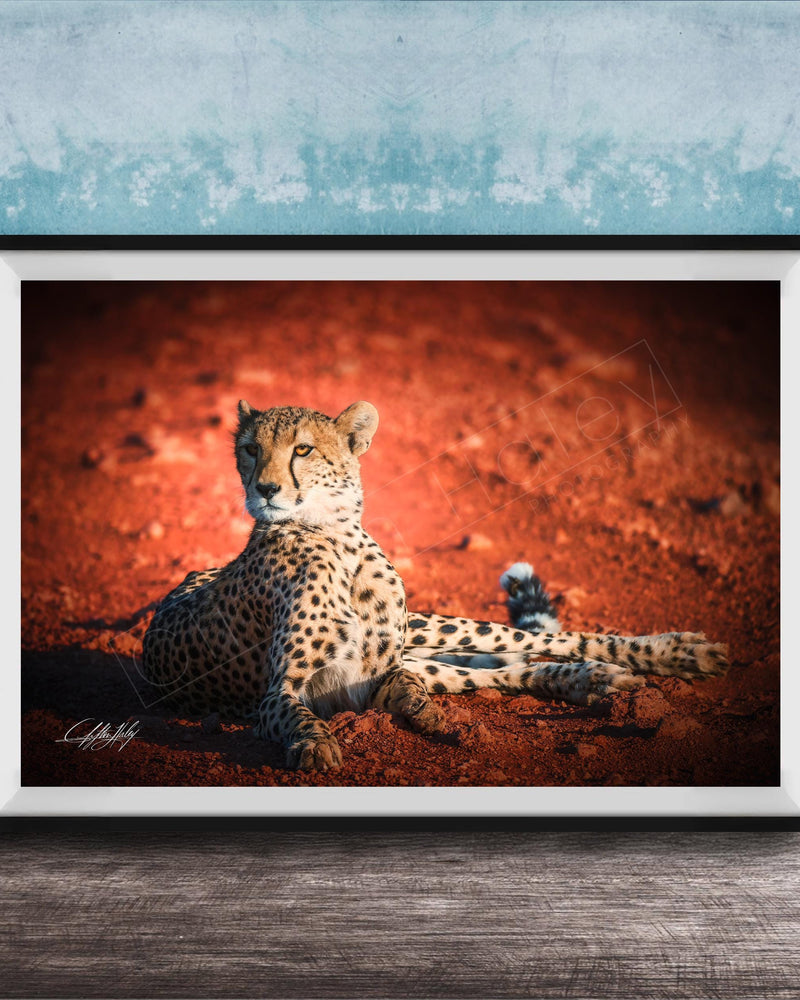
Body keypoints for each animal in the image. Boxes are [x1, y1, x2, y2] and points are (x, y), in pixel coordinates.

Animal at [142, 400, 729, 771]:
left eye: (302, 450)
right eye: (249, 449)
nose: (264, 489)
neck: (334, 536)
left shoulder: (375, 671)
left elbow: (405, 682)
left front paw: (419, 711)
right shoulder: (295, 691)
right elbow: (300, 715)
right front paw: (316, 746)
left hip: (434, 626)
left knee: (538, 643)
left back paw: (674, 654)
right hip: (431, 647)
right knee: (500, 670)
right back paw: (592, 681)